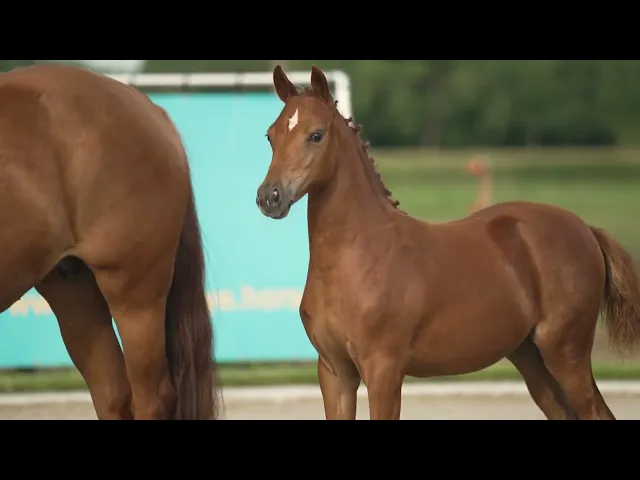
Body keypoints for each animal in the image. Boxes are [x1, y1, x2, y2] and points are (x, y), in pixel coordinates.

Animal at [258, 64, 640, 420]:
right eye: (270, 135)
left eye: (316, 135)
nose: (269, 197)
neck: (357, 257)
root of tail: (586, 228)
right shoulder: (335, 372)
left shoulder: (383, 370)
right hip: (532, 360)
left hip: (566, 353)